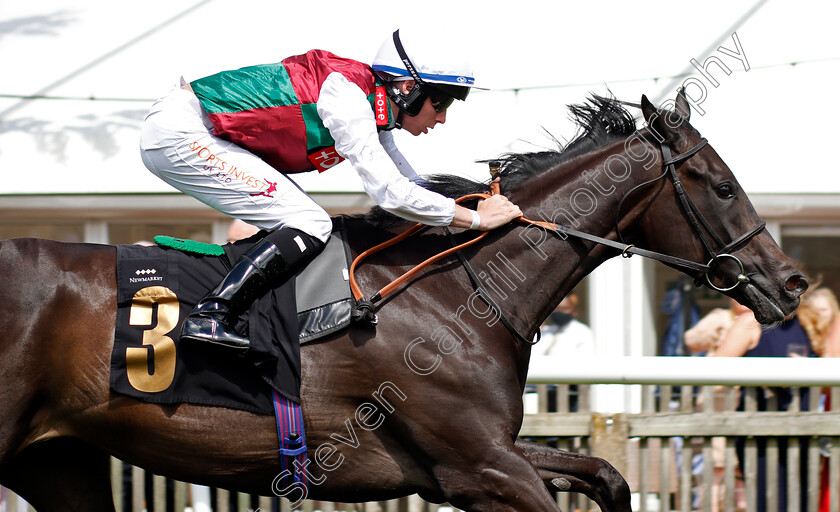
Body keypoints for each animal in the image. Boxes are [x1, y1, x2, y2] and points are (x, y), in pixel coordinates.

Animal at [0, 93, 808, 512]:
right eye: (723, 186)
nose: (793, 283)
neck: (462, 291)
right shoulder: (479, 468)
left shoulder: (482, 455)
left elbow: (606, 475)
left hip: (57, 459)